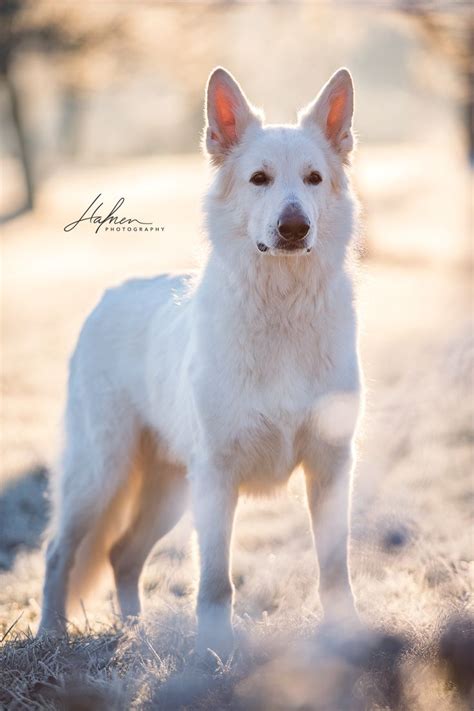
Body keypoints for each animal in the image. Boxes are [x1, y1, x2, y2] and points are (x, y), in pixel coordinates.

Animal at [39, 67, 362, 656]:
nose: (294, 228)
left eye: (313, 179)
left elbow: (334, 567)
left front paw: (347, 635)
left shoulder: (330, 466)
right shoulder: (216, 476)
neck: (280, 311)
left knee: (121, 553)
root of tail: (109, 297)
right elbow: (215, 580)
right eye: (259, 179)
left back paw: (134, 631)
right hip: (102, 476)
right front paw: (213, 651)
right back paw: (49, 633)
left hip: (169, 491)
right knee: (60, 552)